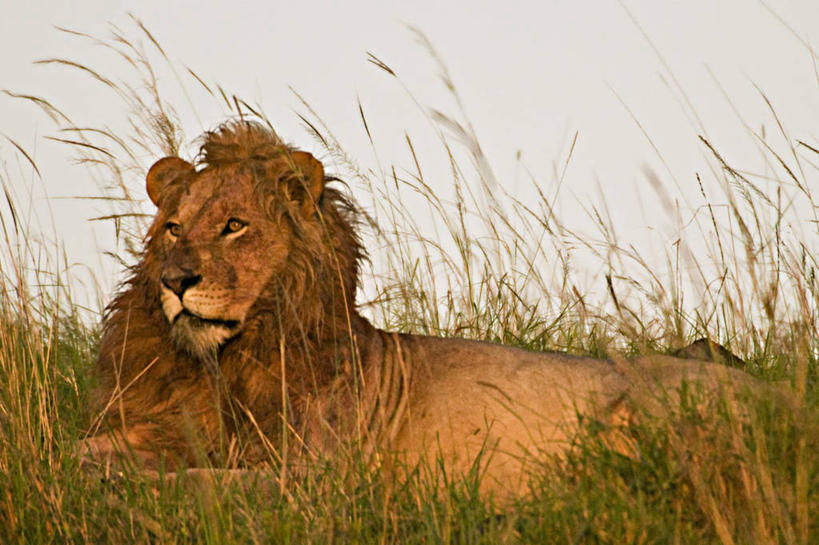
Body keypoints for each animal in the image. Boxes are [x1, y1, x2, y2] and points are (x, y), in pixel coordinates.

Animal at [83, 121, 764, 496]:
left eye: (234, 226)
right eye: (174, 228)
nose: (175, 281)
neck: (226, 363)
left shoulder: (320, 477)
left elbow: (206, 484)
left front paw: (132, 486)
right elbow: (86, 452)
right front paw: (95, 469)